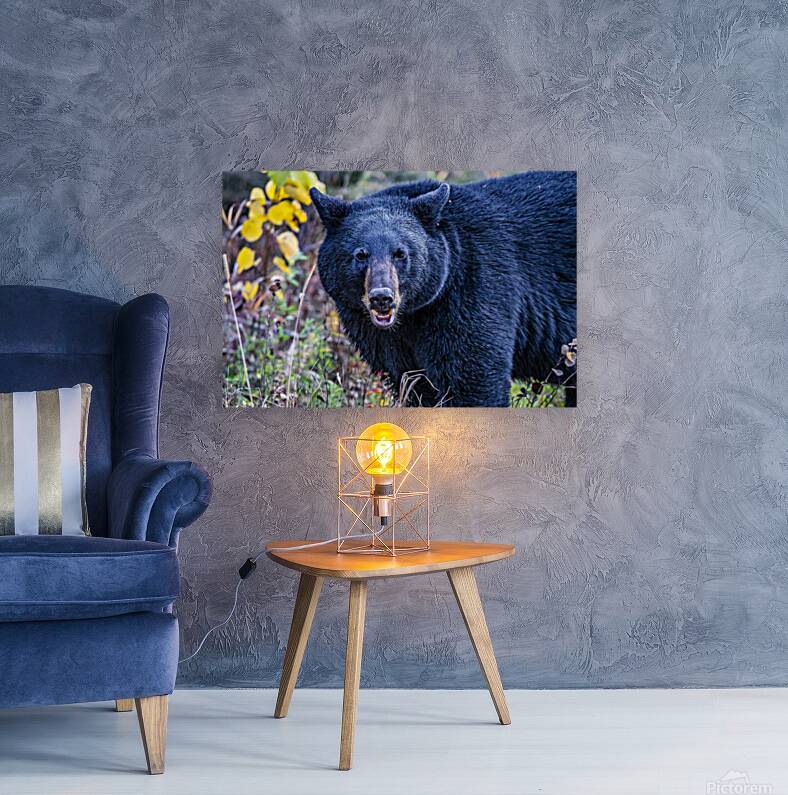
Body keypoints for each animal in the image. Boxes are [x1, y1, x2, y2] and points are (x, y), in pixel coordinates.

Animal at [310, 171, 576, 408]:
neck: (411, 316)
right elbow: (412, 383)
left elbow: (473, 376)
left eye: (400, 253)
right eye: (361, 254)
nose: (381, 298)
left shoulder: (473, 288)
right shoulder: (378, 333)